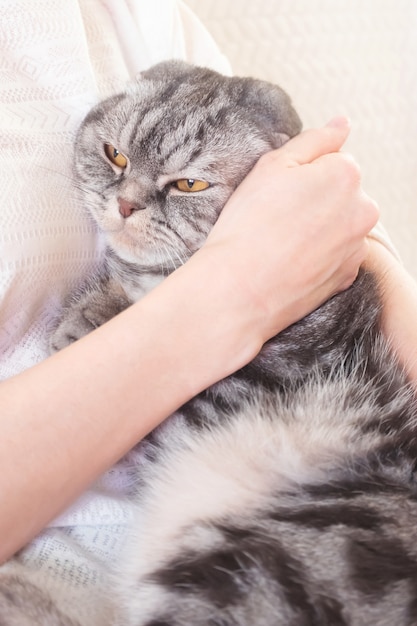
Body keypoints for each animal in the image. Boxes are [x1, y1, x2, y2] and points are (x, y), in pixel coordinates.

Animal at [3, 59, 416, 624]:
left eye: (189, 184)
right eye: (116, 155)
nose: (125, 204)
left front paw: (90, 316)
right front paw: (93, 307)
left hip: (267, 563)